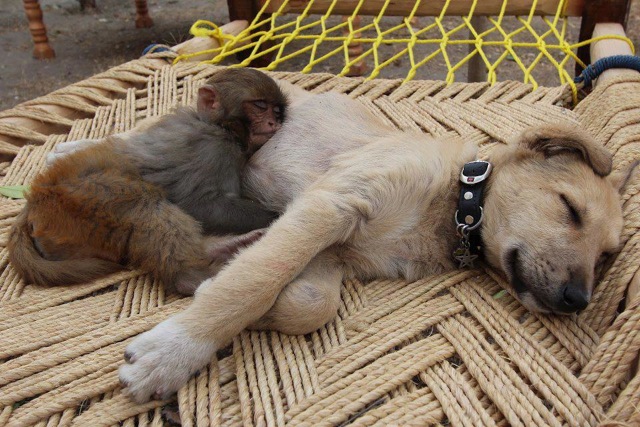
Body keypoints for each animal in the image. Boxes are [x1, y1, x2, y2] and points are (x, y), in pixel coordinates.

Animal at [8, 68, 286, 295]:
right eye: (260, 105)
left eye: (276, 110)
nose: (274, 122)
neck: (219, 126)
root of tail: (33, 203)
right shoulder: (213, 149)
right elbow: (202, 205)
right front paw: (278, 215)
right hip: (75, 199)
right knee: (143, 203)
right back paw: (191, 276)